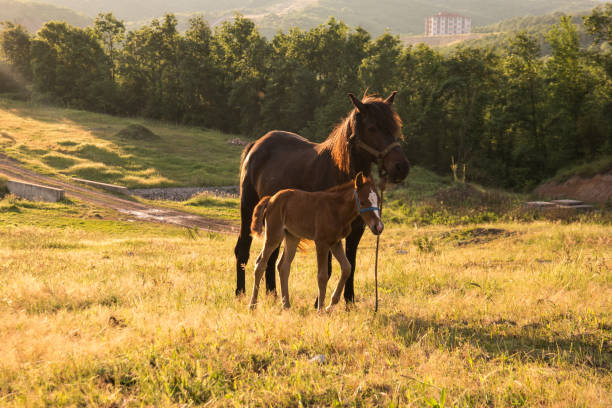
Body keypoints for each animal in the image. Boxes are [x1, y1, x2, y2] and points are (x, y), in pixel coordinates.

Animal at [249, 174, 382, 310]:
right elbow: (322, 275)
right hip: (273, 236)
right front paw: (320, 309)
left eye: (378, 200)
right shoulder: (321, 243)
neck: (336, 210)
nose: (378, 227)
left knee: (283, 266)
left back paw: (286, 305)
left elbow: (347, 268)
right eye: (362, 202)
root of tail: (271, 199)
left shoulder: (335, 242)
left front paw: (330, 306)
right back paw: (252, 304)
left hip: (292, 237)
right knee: (260, 264)